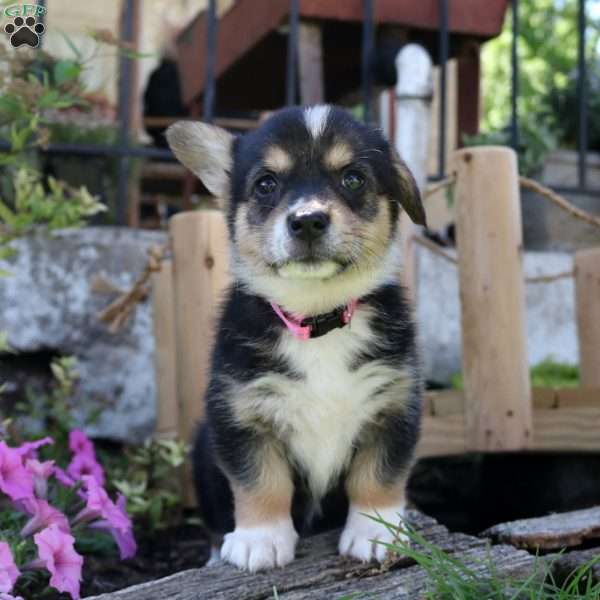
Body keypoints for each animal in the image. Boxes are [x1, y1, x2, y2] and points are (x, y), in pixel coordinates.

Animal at [166, 104, 424, 572]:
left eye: (353, 178)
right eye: (266, 184)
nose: (307, 221)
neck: (316, 316)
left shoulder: (394, 405)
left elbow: (377, 475)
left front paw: (377, 533)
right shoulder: (241, 415)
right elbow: (261, 481)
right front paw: (259, 540)